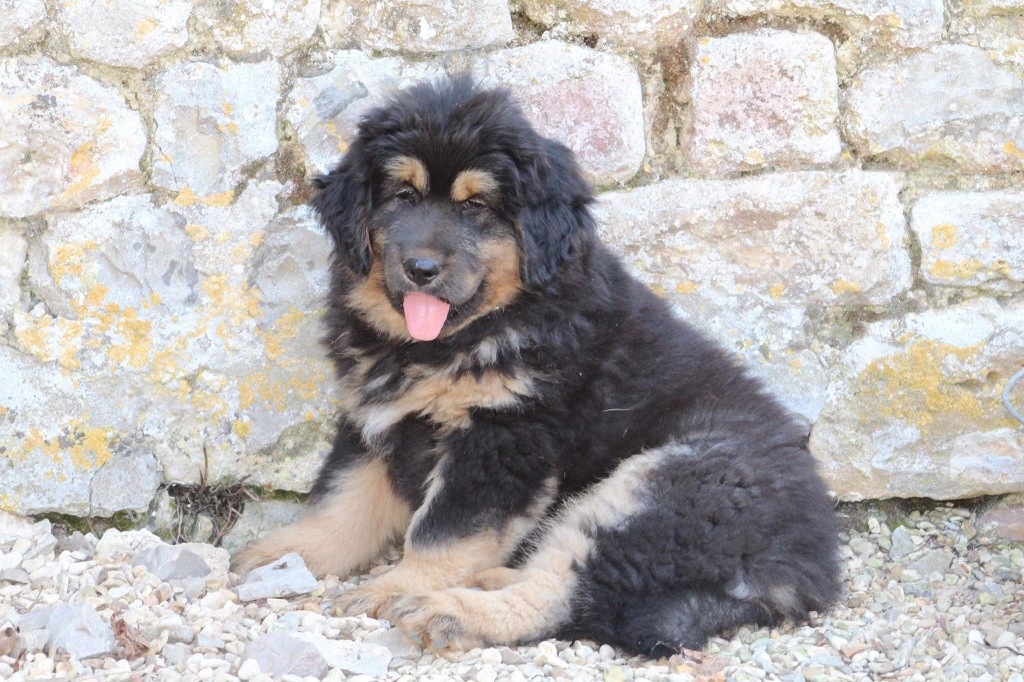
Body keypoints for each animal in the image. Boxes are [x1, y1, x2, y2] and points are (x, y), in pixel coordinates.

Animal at [232, 76, 840, 656]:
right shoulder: (376, 419)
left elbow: (441, 532)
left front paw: (395, 586)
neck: (448, 343)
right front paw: (286, 552)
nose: (421, 268)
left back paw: (448, 610)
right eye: (403, 195)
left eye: (475, 205)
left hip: (663, 487)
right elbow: (341, 503)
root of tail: (803, 571)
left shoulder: (503, 438)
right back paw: (487, 581)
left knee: (565, 592)